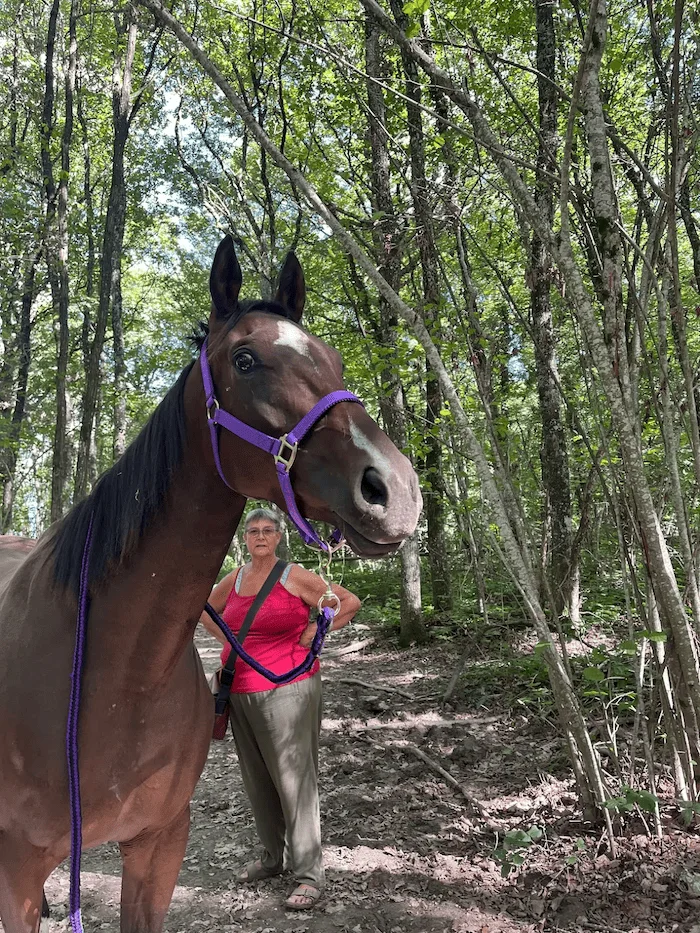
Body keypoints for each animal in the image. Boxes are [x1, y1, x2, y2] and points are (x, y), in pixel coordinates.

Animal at [0, 236, 422, 933]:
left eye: (333, 359)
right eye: (245, 360)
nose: (394, 489)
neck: (116, 678)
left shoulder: (159, 844)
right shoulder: (20, 870)